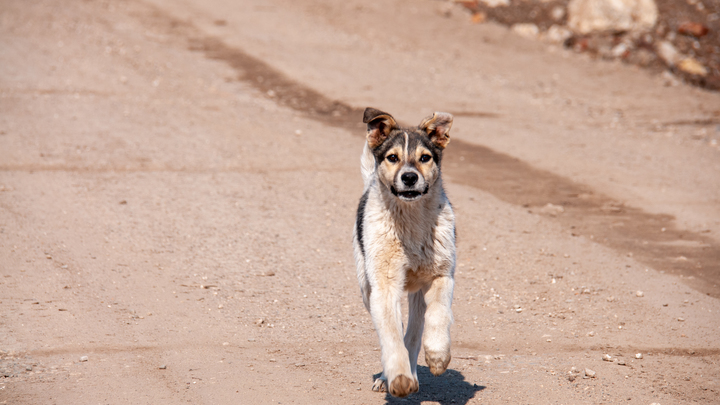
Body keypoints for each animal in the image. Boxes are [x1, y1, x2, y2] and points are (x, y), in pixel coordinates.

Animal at [352, 106, 456, 394]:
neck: (410, 223)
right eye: (392, 157)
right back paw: (389, 376)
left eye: (425, 158)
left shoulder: (442, 275)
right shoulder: (385, 285)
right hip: (367, 286)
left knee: (415, 329)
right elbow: (390, 333)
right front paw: (398, 377)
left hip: (418, 292)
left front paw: (438, 356)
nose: (409, 177)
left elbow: (438, 314)